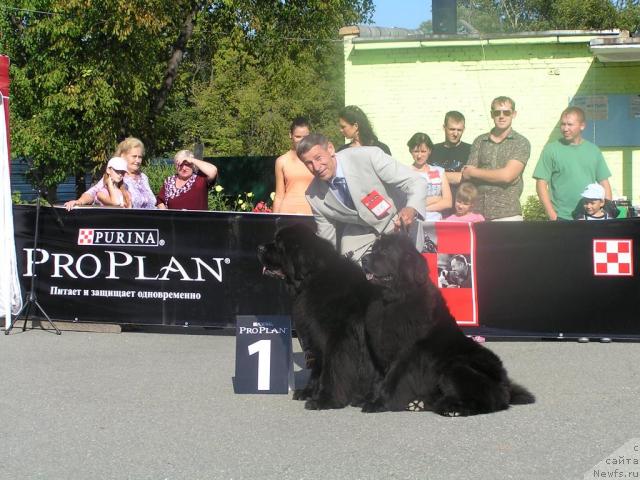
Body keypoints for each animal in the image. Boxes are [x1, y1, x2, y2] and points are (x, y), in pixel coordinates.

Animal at [256, 224, 378, 408]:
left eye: (279, 244)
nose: (259, 247)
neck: (312, 278)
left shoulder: (337, 338)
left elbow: (333, 368)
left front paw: (325, 399)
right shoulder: (315, 335)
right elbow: (318, 368)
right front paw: (308, 392)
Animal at [360, 234, 536, 414]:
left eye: (385, 251)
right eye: (373, 249)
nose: (363, 259)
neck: (392, 301)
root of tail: (505, 385)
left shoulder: (404, 353)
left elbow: (391, 379)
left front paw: (380, 403)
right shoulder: (380, 349)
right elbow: (379, 378)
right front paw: (370, 398)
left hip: (456, 367)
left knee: (488, 401)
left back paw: (452, 408)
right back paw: (422, 404)